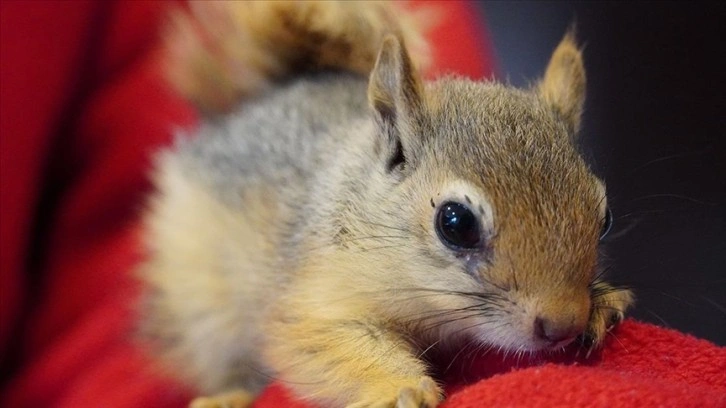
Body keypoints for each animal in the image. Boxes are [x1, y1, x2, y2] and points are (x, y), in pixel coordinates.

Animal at [138, 1, 636, 406]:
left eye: (605, 217)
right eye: (455, 222)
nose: (563, 324)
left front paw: (603, 303)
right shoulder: (311, 300)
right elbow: (323, 344)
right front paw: (400, 387)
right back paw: (229, 395)